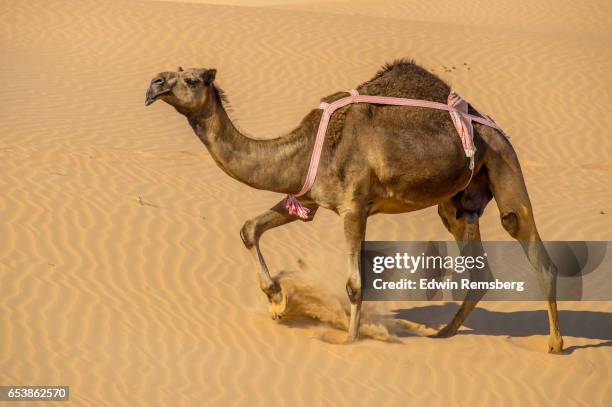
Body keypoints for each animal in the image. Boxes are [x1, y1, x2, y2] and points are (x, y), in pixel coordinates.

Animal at [145, 59, 564, 354]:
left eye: (192, 79)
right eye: (177, 70)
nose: (155, 83)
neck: (306, 147)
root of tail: (489, 124)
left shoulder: (354, 207)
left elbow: (355, 284)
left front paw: (348, 342)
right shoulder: (307, 198)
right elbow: (249, 228)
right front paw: (278, 301)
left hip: (504, 160)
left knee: (525, 236)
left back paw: (555, 344)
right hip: (459, 201)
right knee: (477, 263)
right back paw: (443, 332)